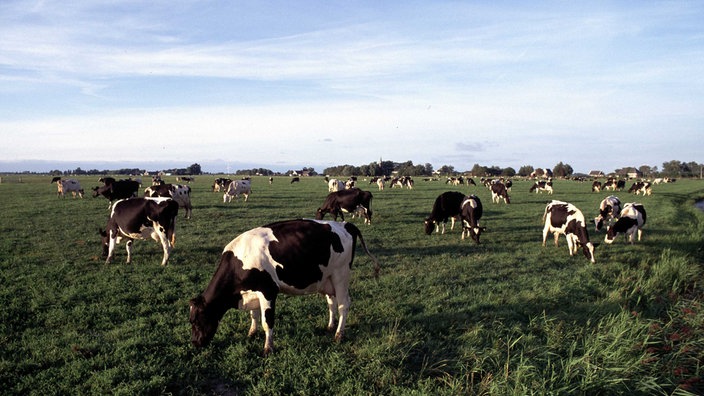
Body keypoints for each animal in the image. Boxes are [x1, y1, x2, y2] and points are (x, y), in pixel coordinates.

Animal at [188, 218, 380, 354]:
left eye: (196, 321)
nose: (195, 343)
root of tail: (345, 224)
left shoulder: (268, 291)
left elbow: (267, 321)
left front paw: (268, 348)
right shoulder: (252, 291)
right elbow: (254, 315)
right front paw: (251, 333)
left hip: (341, 275)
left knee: (343, 305)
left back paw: (339, 334)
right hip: (327, 278)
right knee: (331, 303)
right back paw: (330, 326)